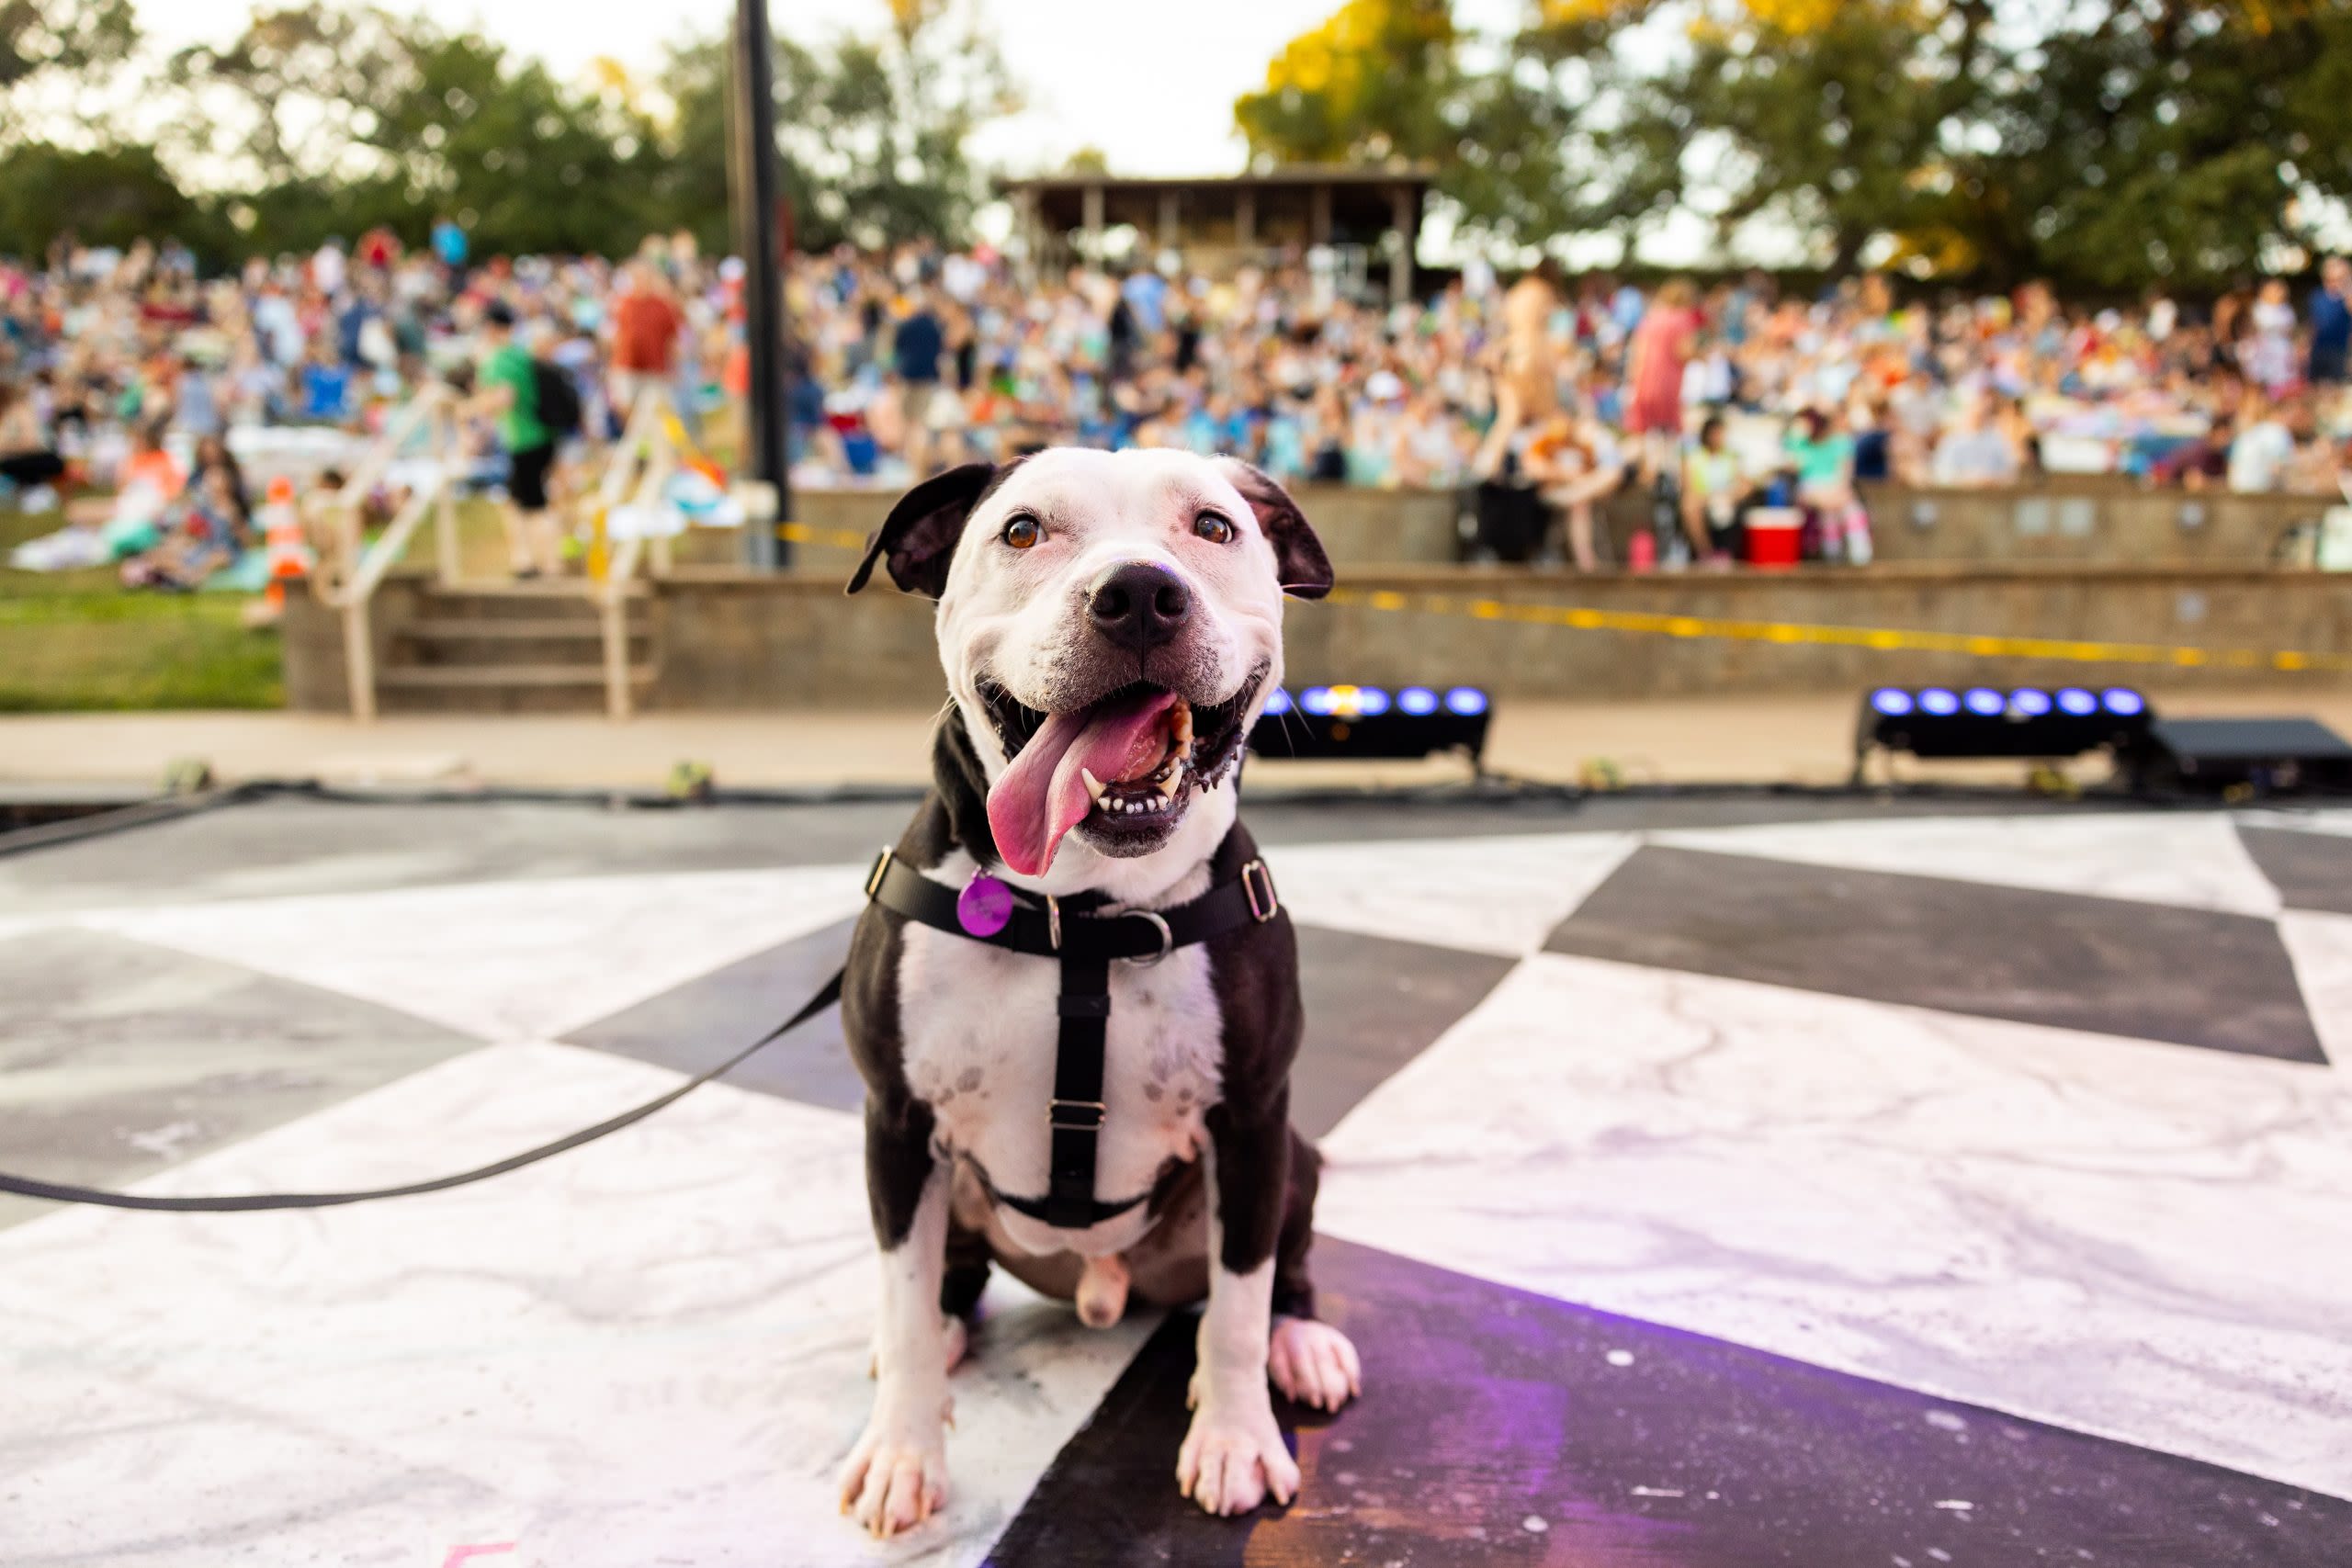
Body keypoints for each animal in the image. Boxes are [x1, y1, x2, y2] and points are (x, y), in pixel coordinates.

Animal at [842, 451, 1363, 1532]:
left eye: (1213, 528)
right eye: (1022, 531)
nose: (1140, 596)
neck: (1082, 909)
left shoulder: (1252, 1120)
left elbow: (1238, 1304)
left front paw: (1237, 1437)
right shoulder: (896, 1118)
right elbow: (903, 1293)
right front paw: (902, 1452)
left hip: (1295, 1157)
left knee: (1276, 1274)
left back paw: (1298, 1343)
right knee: (938, 1282)